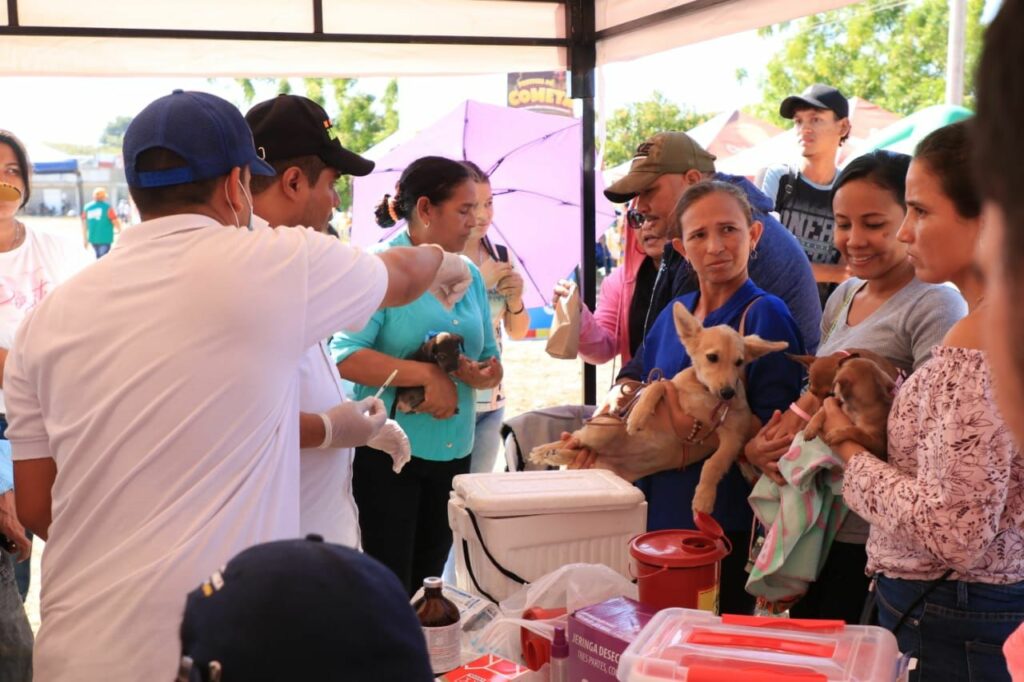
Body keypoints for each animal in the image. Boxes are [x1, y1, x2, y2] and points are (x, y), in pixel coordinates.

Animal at [532, 301, 786, 512]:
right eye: (712, 357)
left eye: (739, 362)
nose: (728, 393)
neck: (706, 396)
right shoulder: (671, 385)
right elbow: (656, 386)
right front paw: (637, 416)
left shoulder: (734, 435)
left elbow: (713, 464)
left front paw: (703, 498)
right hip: (603, 429)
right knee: (575, 437)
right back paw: (546, 450)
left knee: (576, 448)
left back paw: (556, 455)